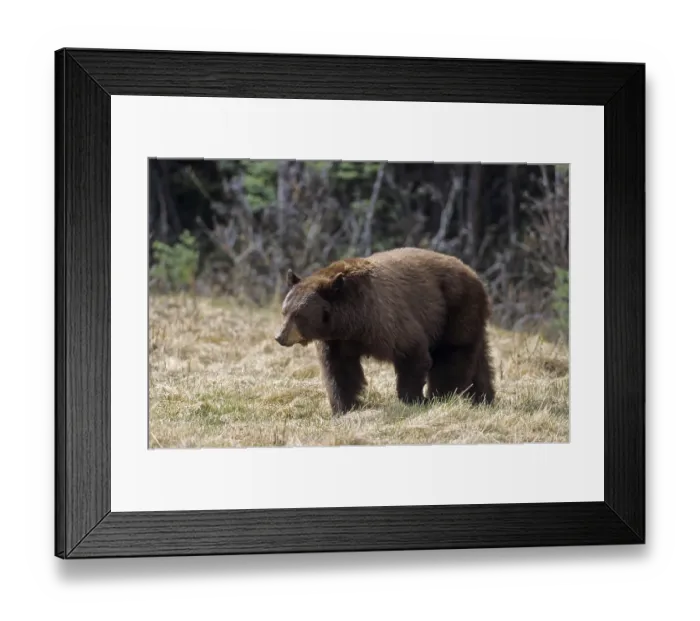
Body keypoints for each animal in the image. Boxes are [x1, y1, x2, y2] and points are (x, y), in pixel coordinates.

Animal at [274, 247, 496, 415]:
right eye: (285, 311)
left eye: (299, 315)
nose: (280, 337)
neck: (351, 323)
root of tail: (474, 274)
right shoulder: (336, 341)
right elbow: (339, 370)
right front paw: (344, 407)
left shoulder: (384, 321)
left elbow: (412, 353)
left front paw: (412, 399)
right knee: (480, 360)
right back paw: (484, 398)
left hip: (457, 308)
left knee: (453, 353)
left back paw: (442, 395)